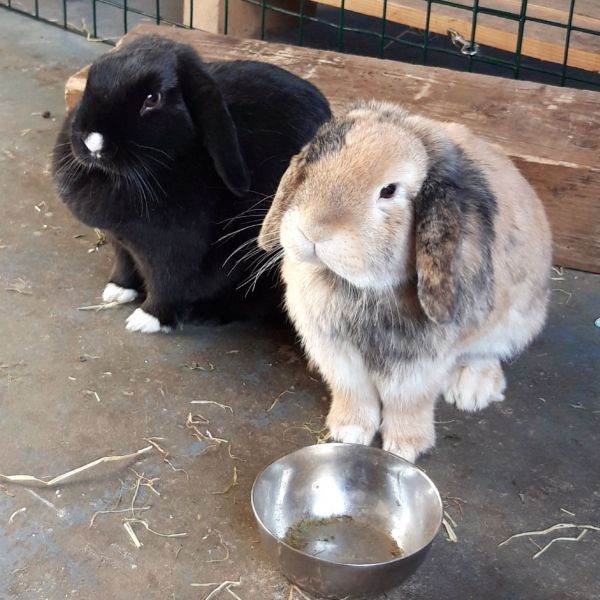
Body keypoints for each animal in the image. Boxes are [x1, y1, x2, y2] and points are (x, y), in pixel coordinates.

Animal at [52, 35, 330, 332]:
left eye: (152, 99)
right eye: (91, 81)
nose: (93, 142)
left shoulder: (175, 253)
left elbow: (168, 285)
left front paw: (146, 319)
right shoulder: (122, 243)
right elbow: (124, 266)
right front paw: (117, 291)